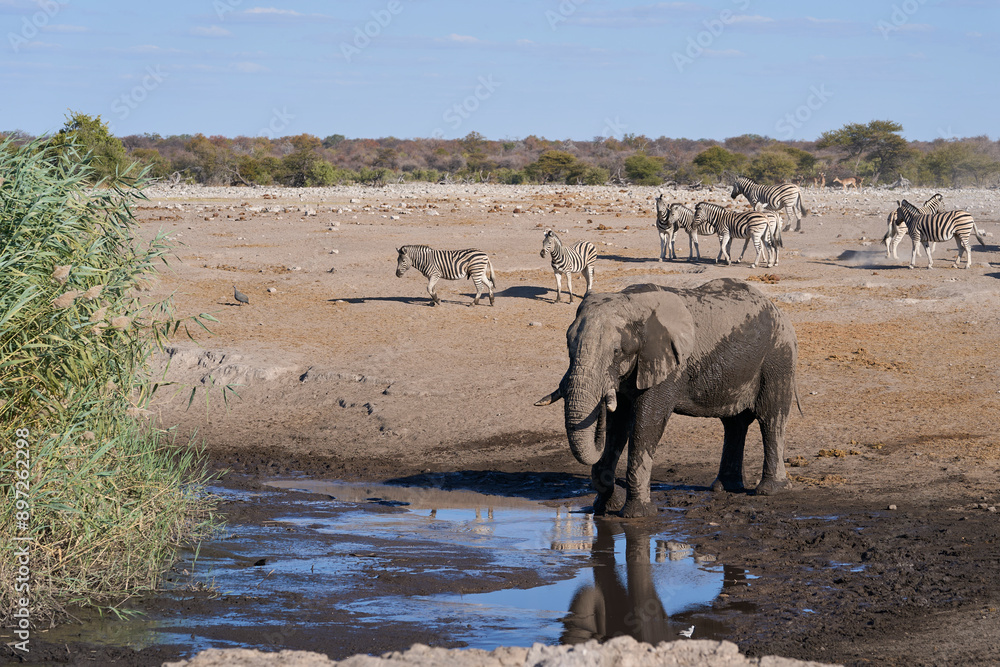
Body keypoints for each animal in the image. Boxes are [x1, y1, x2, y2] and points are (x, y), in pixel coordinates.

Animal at [535, 277, 799, 518]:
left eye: (617, 351)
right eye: (568, 346)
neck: (632, 303)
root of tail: (778, 310)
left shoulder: (669, 363)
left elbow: (646, 423)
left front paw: (638, 514)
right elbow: (618, 426)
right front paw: (605, 505)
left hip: (778, 356)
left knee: (771, 419)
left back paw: (770, 490)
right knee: (734, 424)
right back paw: (724, 487)